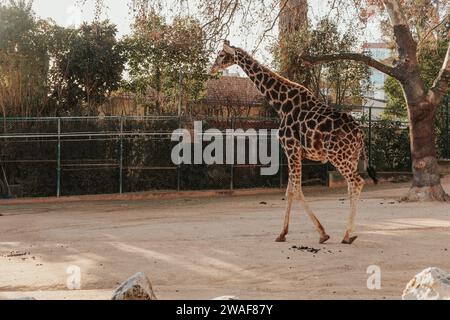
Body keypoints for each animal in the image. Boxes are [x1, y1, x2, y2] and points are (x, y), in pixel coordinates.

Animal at [211, 40, 376, 245]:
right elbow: (290, 190)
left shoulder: (291, 148)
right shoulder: (295, 152)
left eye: (220, 55)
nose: (212, 68)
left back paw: (346, 235)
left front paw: (321, 233)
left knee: (357, 182)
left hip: (338, 156)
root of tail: (360, 133)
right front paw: (284, 233)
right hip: (351, 157)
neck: (281, 103)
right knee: (351, 186)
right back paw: (350, 234)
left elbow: (295, 190)